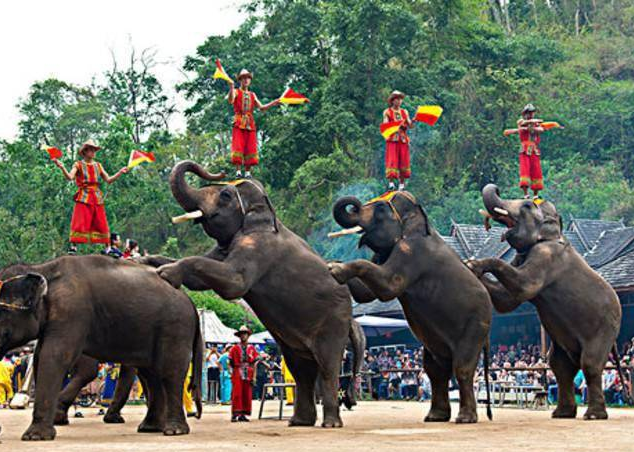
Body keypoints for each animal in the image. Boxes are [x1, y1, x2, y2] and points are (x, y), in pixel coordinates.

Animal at [0, 256, 202, 440]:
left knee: (170, 372)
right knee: (151, 373)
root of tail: (190, 302)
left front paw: (35, 436)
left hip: (175, 327)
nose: (1, 432)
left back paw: (174, 431)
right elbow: (40, 357)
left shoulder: (73, 313)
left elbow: (54, 356)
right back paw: (149, 428)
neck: (43, 268)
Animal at [143, 161, 360, 430]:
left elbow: (234, 283)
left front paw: (166, 272)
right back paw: (299, 422)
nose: (219, 171)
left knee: (328, 367)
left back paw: (329, 424)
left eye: (225, 195)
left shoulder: (259, 247)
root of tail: (351, 318)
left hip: (333, 323)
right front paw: (145, 261)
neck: (264, 210)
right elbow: (201, 278)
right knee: (302, 370)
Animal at [326, 191, 494, 424]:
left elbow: (388, 286)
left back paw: (464, 419)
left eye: (380, 209)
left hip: (476, 325)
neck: (418, 220)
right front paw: (331, 263)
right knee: (435, 370)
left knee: (462, 368)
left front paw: (335, 269)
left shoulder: (411, 252)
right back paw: (435, 417)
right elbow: (365, 293)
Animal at [462, 184, 620, 420]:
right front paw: (469, 266)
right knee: (560, 366)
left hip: (605, 328)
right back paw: (562, 414)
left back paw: (592, 415)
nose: (496, 188)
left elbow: (523, 287)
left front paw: (473, 265)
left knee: (590, 364)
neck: (554, 232)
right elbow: (507, 301)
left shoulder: (547, 256)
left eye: (527, 206)